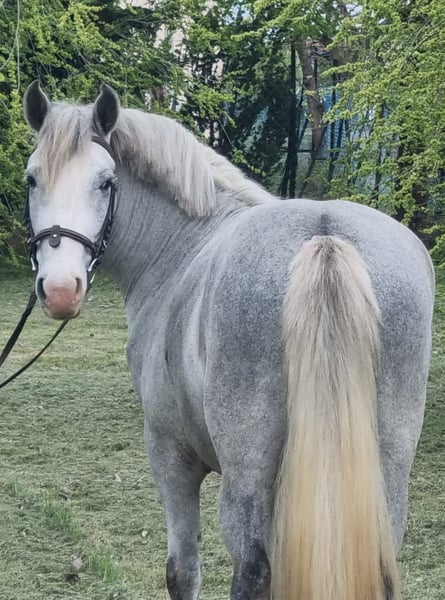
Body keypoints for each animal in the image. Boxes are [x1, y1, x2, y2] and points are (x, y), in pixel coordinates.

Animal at [22, 81, 434, 600]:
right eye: (33, 180)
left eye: (105, 182)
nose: (61, 289)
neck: (183, 246)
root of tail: (325, 237)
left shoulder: (171, 457)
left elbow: (182, 571)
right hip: (387, 475)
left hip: (246, 477)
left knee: (252, 568)